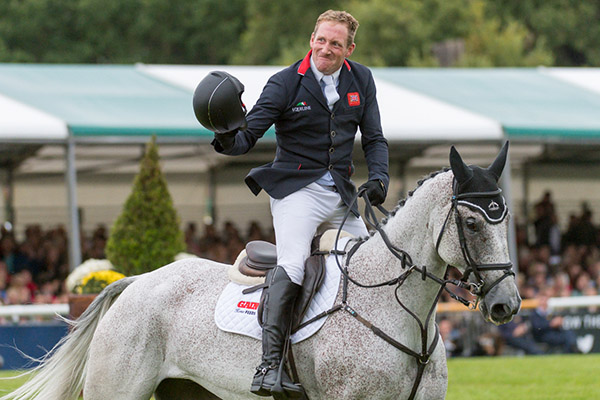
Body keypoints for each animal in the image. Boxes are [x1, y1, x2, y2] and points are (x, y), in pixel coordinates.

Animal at [1, 143, 521, 400]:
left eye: (506, 219)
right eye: (473, 223)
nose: (506, 305)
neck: (400, 311)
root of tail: (135, 284)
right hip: (117, 390)